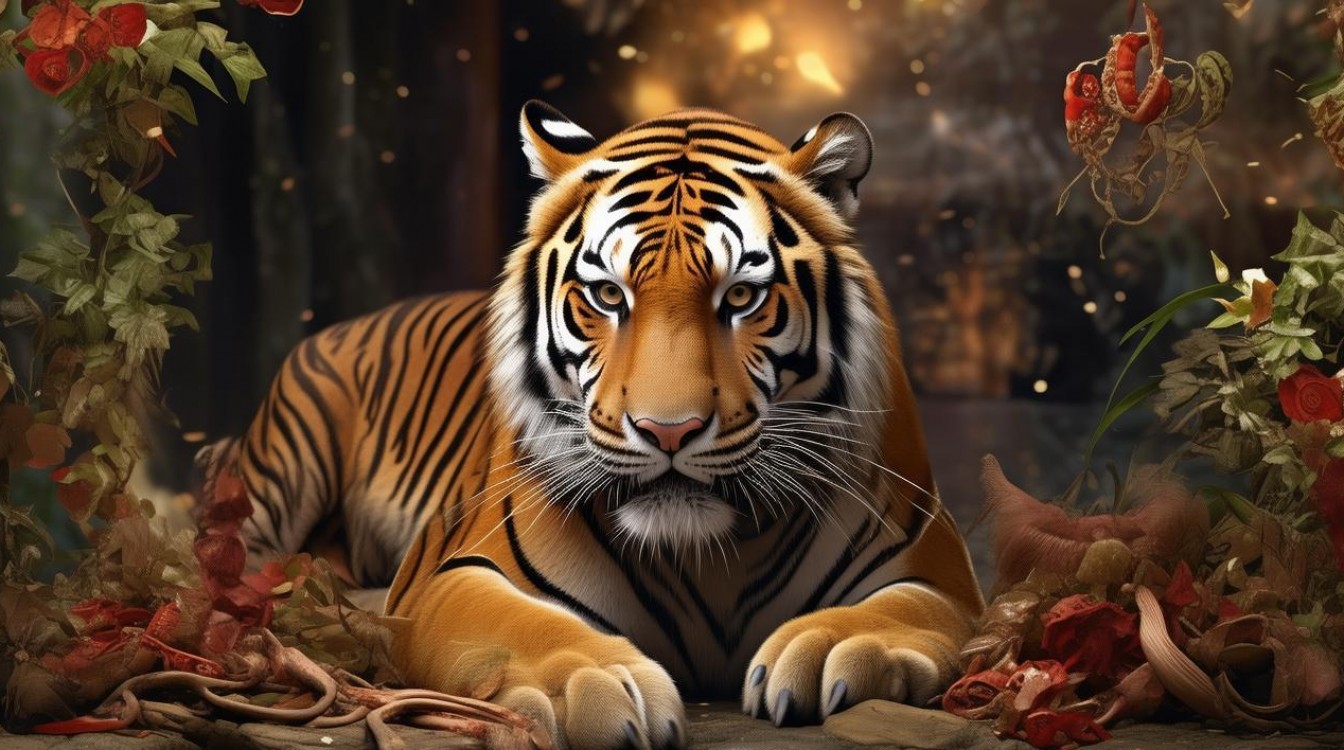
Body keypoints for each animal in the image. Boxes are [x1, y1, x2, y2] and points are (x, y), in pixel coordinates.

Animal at [225, 101, 984, 750]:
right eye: (607, 295)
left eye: (741, 295)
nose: (668, 431)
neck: (712, 555)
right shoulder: (449, 576)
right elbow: (516, 625)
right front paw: (591, 681)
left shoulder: (942, 574)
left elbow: (904, 611)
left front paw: (827, 644)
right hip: (283, 473)